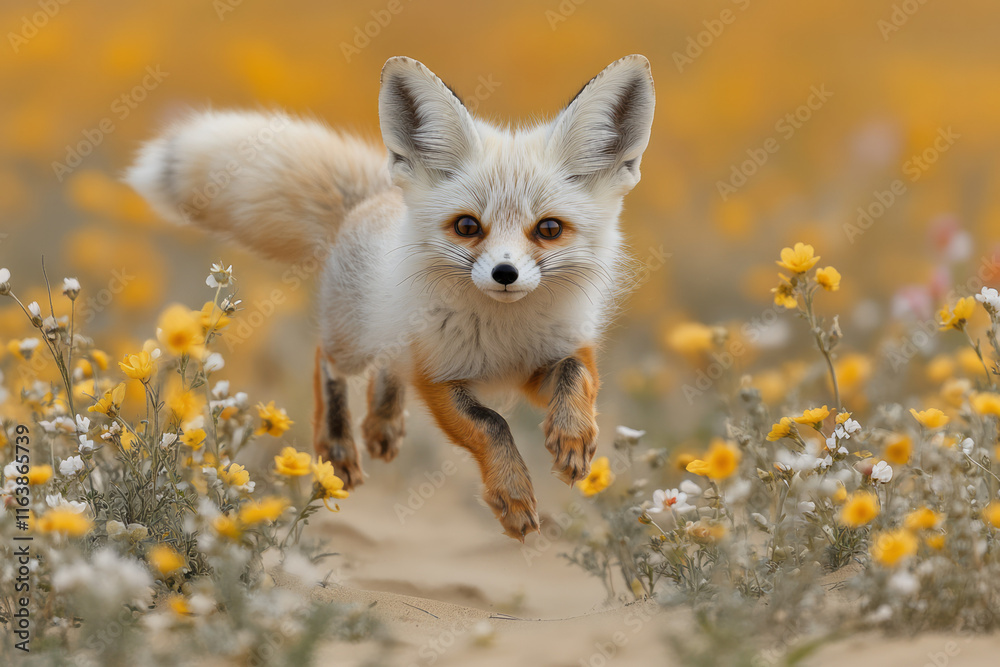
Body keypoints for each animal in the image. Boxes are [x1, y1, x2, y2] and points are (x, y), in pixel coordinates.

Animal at [126, 55, 655, 540]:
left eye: (548, 229)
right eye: (468, 226)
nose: (505, 274)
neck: (504, 334)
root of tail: (374, 197)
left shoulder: (549, 356)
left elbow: (575, 376)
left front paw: (573, 438)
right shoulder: (439, 376)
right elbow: (492, 425)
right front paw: (514, 496)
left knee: (387, 369)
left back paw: (382, 422)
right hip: (352, 341)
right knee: (328, 361)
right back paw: (338, 446)